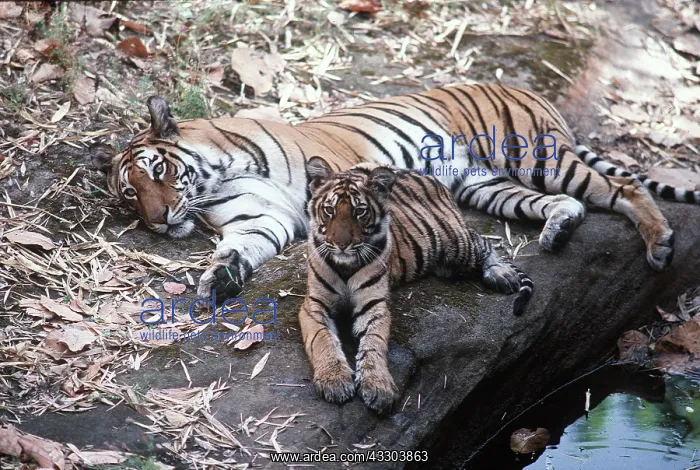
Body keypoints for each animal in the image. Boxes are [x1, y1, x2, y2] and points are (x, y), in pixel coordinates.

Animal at [98, 84, 699, 300]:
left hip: (535, 156)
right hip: (486, 185)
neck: (221, 173)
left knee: (622, 185)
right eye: (131, 196)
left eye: (158, 169)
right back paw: (556, 233)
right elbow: (239, 249)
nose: (158, 220)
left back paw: (660, 244)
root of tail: (526, 88)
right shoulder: (257, 220)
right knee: (570, 202)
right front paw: (220, 277)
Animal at [299, 157, 533, 413]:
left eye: (359, 211)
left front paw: (378, 386)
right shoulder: (314, 305)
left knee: (483, 241)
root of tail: (422, 173)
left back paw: (501, 273)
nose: (341, 245)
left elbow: (374, 343)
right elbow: (322, 339)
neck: (345, 265)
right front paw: (335, 381)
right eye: (329, 210)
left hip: (455, 242)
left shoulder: (375, 306)